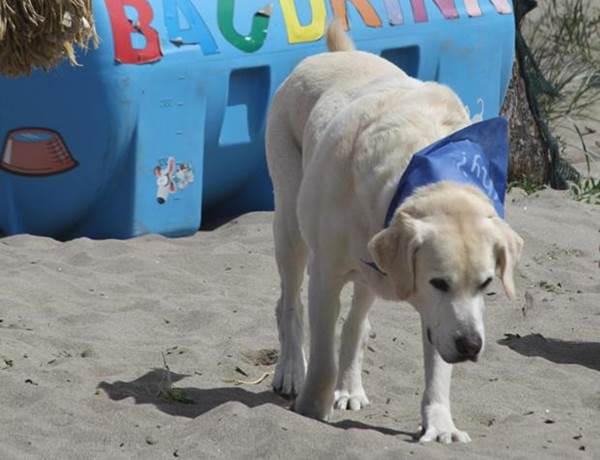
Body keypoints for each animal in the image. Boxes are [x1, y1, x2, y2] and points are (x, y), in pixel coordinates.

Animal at [264, 19, 524, 444]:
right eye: (439, 282)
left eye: (487, 284)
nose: (471, 346)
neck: (417, 171)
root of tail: (337, 53)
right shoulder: (326, 277)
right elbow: (322, 357)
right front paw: (310, 410)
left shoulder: (441, 317)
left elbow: (437, 365)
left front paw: (440, 424)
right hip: (289, 225)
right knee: (288, 303)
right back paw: (289, 369)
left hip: (369, 268)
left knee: (356, 324)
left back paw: (349, 387)